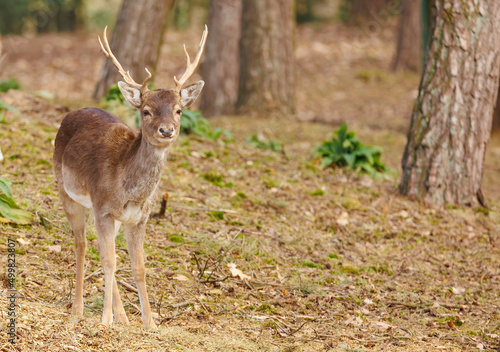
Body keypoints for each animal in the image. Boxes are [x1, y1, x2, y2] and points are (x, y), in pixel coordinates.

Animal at [52, 25, 205, 328]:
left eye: (179, 110)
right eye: (146, 111)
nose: (167, 130)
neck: (130, 192)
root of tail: (71, 114)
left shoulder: (139, 218)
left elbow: (139, 267)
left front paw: (150, 323)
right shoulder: (102, 208)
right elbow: (109, 261)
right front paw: (105, 320)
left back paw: (123, 316)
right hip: (67, 192)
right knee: (81, 243)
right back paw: (78, 308)